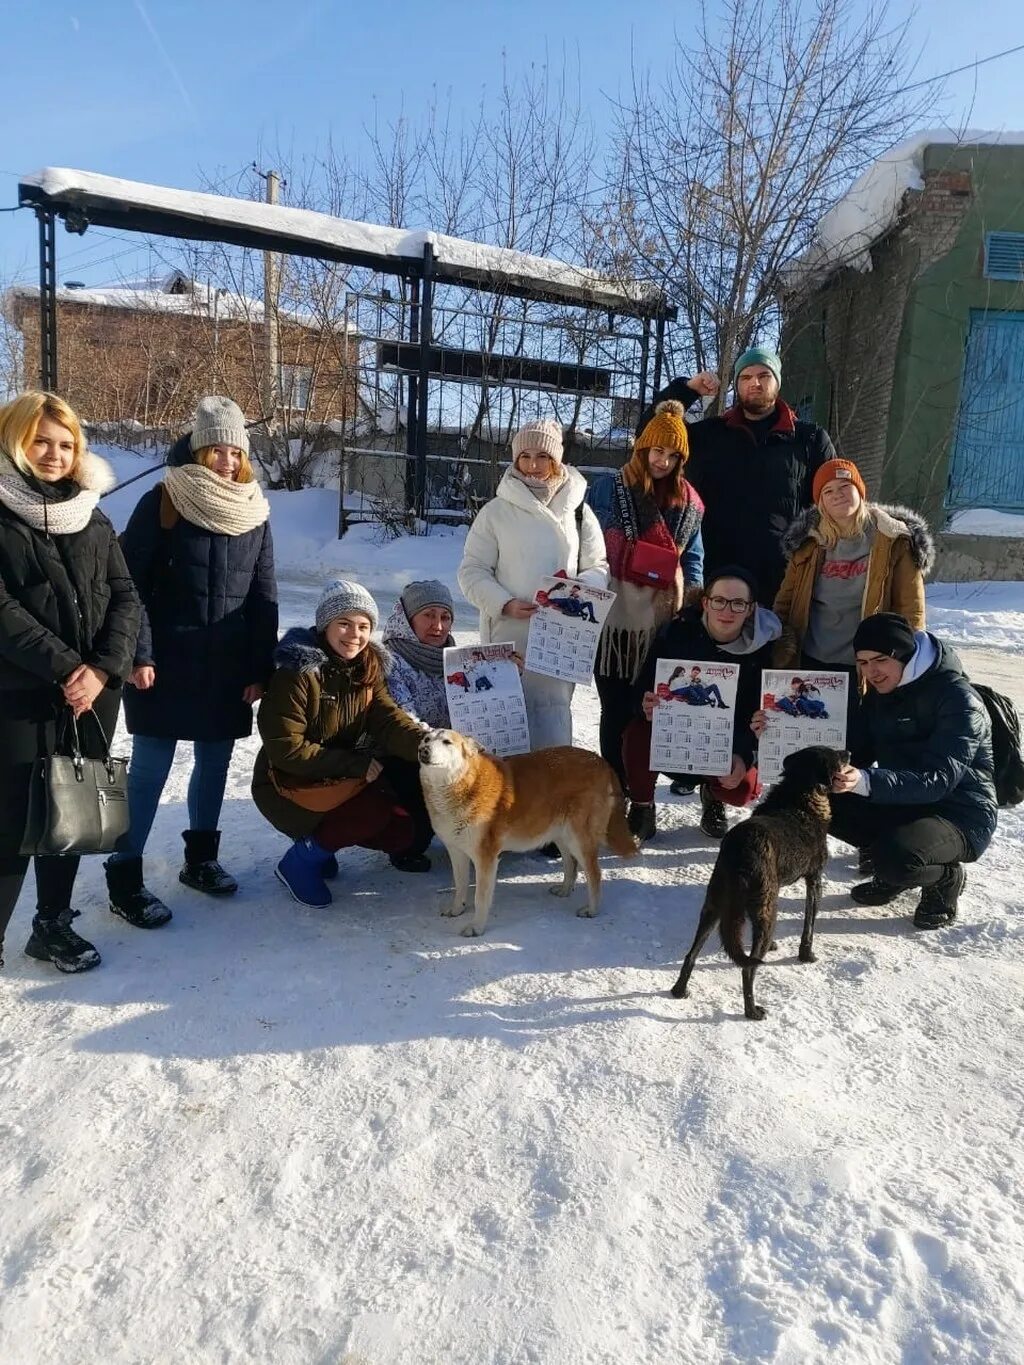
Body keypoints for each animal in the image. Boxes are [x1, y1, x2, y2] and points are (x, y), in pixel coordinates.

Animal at [420, 737, 638, 939]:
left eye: (446, 741)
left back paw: (591, 910)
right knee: (571, 864)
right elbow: (460, 885)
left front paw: (476, 927)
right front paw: (457, 909)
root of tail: (601, 762)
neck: (463, 785)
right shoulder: (457, 852)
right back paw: (565, 890)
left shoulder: (486, 859)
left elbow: (480, 898)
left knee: (594, 874)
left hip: (578, 838)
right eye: (426, 738)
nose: (424, 750)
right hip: (561, 835)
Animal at [674, 748, 851, 1026]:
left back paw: (679, 990)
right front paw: (806, 956)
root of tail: (740, 850)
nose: (849, 752)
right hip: (765, 906)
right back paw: (752, 1011)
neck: (799, 793)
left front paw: (776, 945)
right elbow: (809, 927)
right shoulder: (815, 881)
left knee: (692, 953)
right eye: (837, 757)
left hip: (714, 905)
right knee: (748, 968)